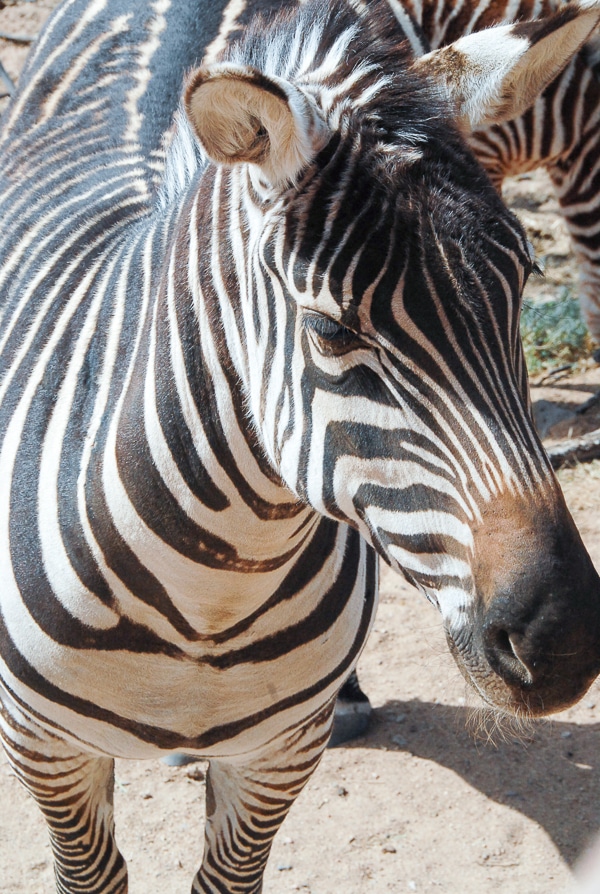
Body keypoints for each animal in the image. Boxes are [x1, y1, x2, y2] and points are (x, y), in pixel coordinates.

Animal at [1, 1, 600, 894]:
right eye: (328, 329)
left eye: (522, 286)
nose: (562, 642)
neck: (213, 591)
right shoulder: (45, 749)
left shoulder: (278, 755)